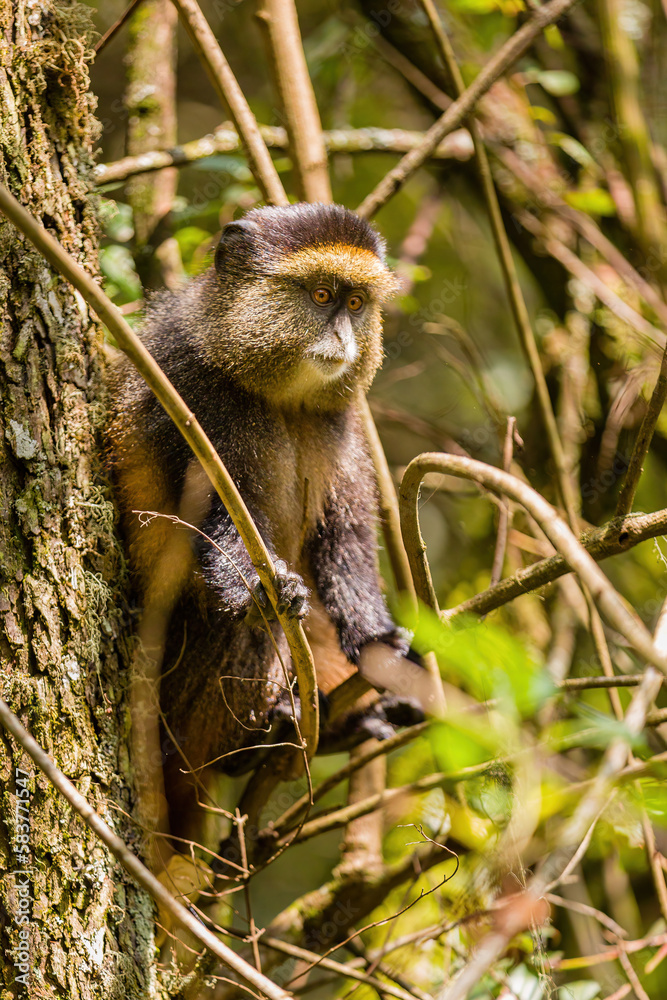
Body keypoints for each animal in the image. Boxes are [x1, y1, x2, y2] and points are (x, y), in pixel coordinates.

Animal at [107, 202, 425, 839]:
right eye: (322, 294)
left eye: (357, 303)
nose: (343, 336)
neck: (280, 397)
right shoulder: (187, 392)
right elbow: (217, 523)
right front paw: (257, 586)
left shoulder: (342, 422)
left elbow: (344, 533)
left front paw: (378, 640)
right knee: (250, 627)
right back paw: (259, 737)